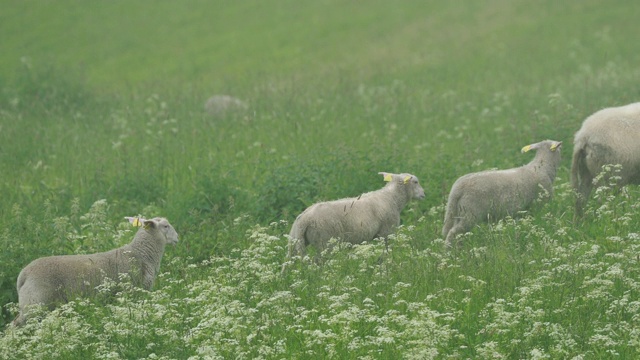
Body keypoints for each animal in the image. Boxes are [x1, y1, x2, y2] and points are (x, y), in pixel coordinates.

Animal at [12, 217, 178, 326]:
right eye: (165, 226)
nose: (177, 237)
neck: (140, 254)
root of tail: (23, 274)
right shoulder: (131, 291)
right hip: (35, 303)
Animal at [284, 172, 424, 262]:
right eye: (415, 182)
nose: (423, 194)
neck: (392, 198)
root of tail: (304, 220)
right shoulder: (386, 233)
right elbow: (386, 254)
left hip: (295, 241)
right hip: (325, 242)